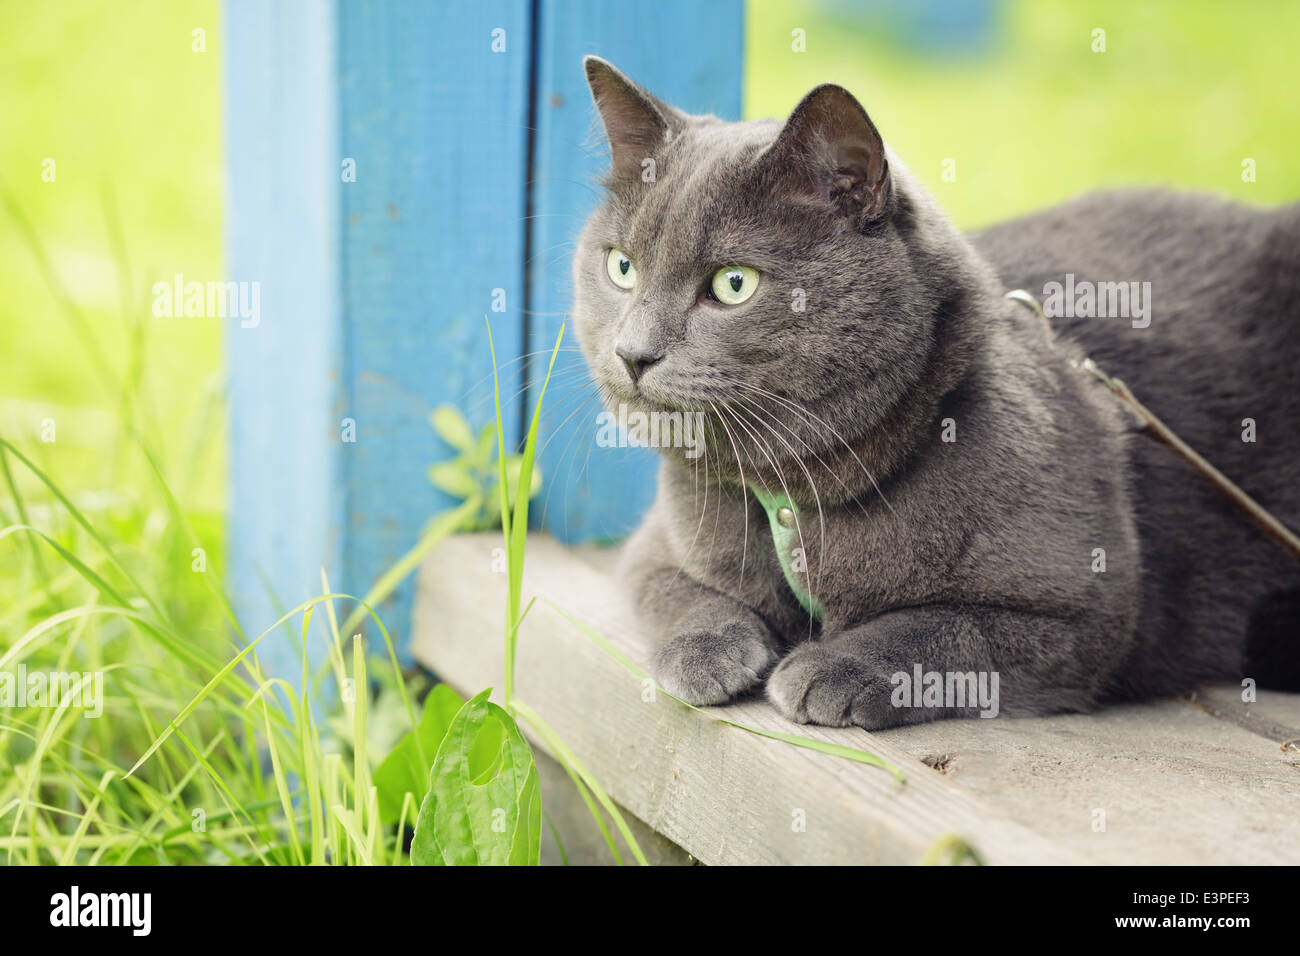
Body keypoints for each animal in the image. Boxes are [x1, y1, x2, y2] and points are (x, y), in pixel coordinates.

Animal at [572, 55, 1300, 728]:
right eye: (622, 268)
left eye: (732, 284)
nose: (632, 353)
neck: (790, 494)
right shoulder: (656, 546)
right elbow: (675, 591)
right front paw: (705, 651)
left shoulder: (1086, 609)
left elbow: (942, 627)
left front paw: (835, 667)